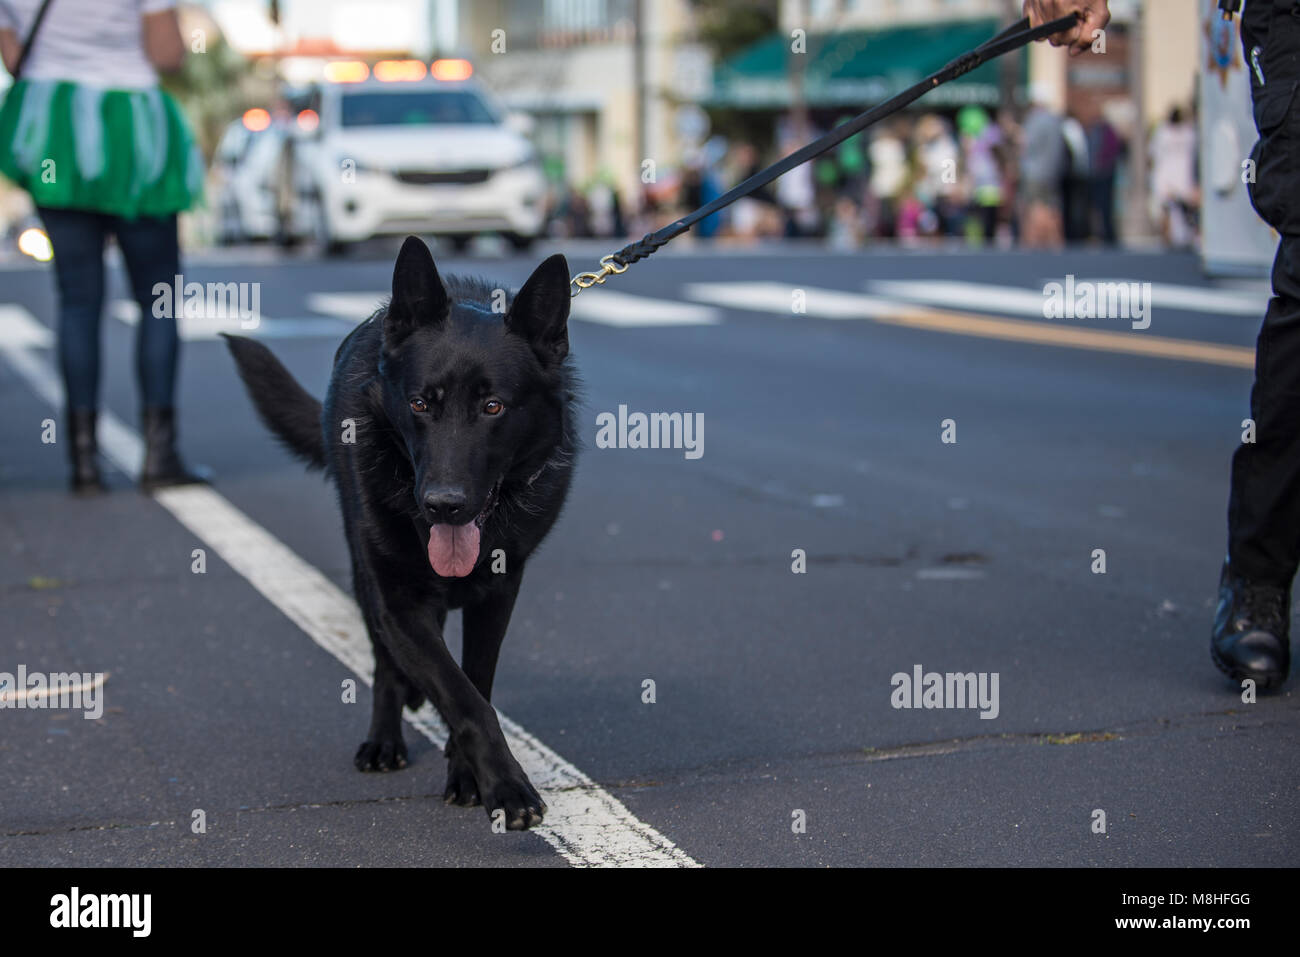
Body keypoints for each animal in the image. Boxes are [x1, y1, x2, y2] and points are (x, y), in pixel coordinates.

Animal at [223, 237, 574, 832]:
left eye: (493, 406)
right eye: (420, 404)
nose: (443, 505)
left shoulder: (498, 594)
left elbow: (476, 682)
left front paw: (467, 777)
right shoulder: (398, 602)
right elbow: (463, 699)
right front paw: (505, 788)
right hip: (366, 577)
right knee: (385, 663)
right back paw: (385, 738)